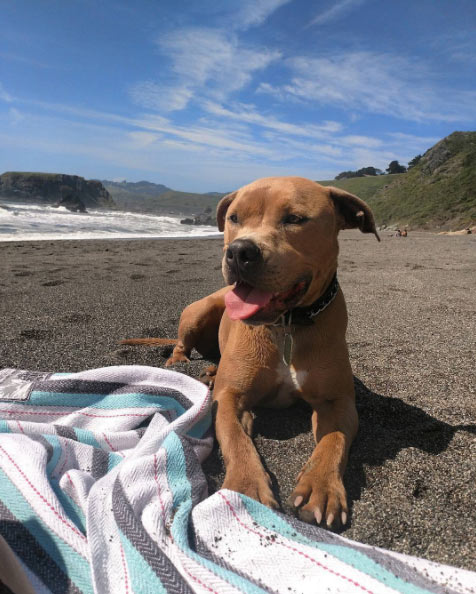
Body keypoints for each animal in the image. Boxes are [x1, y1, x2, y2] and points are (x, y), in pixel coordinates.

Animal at [122, 175, 380, 524]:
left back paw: (210, 370)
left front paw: (322, 486)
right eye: (234, 218)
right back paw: (183, 363)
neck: (287, 324)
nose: (239, 251)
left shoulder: (337, 402)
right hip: (200, 309)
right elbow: (235, 439)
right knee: (182, 344)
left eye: (295, 218)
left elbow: (334, 440)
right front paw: (245, 488)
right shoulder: (230, 399)